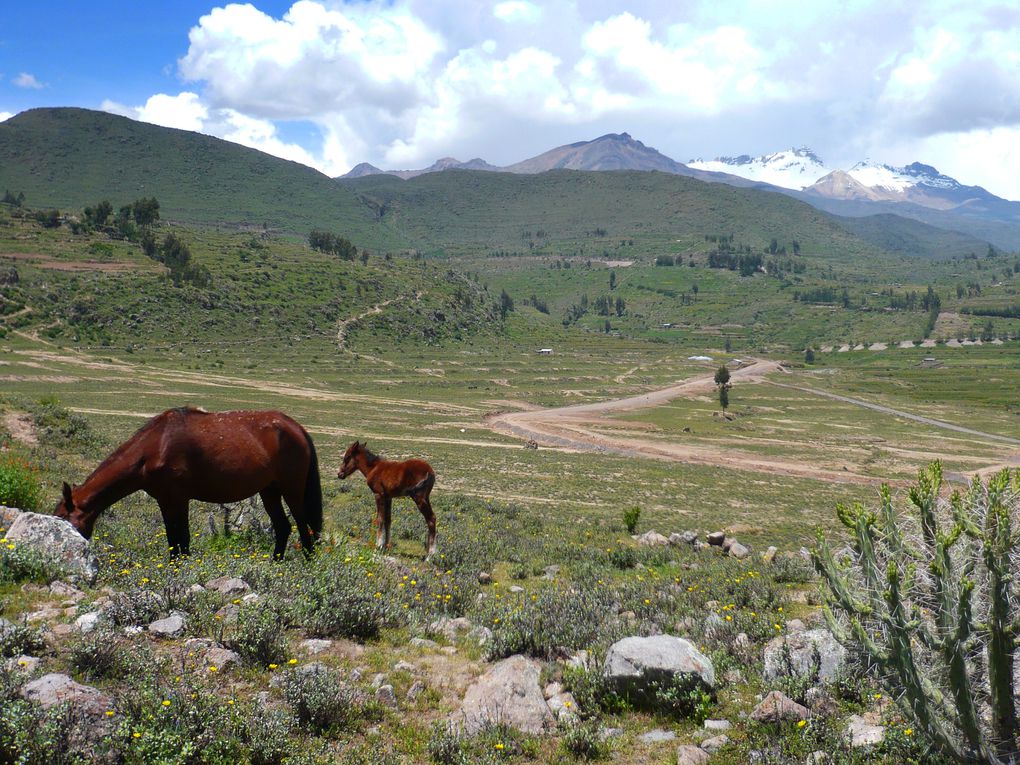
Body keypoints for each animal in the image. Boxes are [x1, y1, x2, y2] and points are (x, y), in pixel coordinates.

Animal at [52, 408, 322, 563]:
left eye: (64, 519)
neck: (155, 446)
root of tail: (297, 428)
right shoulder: (165, 500)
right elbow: (175, 538)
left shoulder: (178, 499)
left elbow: (182, 538)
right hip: (269, 491)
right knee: (283, 527)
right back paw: (275, 564)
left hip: (291, 490)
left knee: (304, 526)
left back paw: (308, 563)